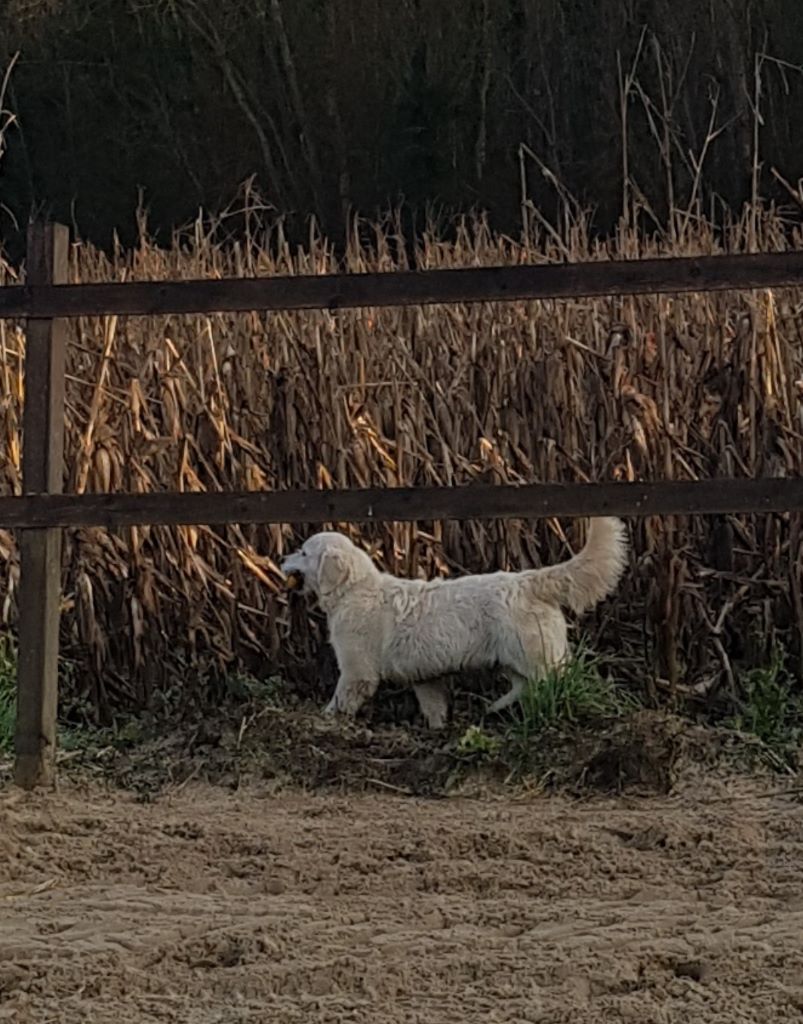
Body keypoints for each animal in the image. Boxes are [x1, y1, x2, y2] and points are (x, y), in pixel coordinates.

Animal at [282, 520, 626, 729]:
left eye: (303, 552)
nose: (282, 559)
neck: (354, 589)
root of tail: (529, 580)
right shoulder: (425, 677)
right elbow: (434, 707)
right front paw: (438, 730)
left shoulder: (357, 672)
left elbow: (339, 701)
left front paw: (323, 722)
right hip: (515, 659)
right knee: (524, 686)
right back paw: (495, 708)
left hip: (538, 659)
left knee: (564, 684)